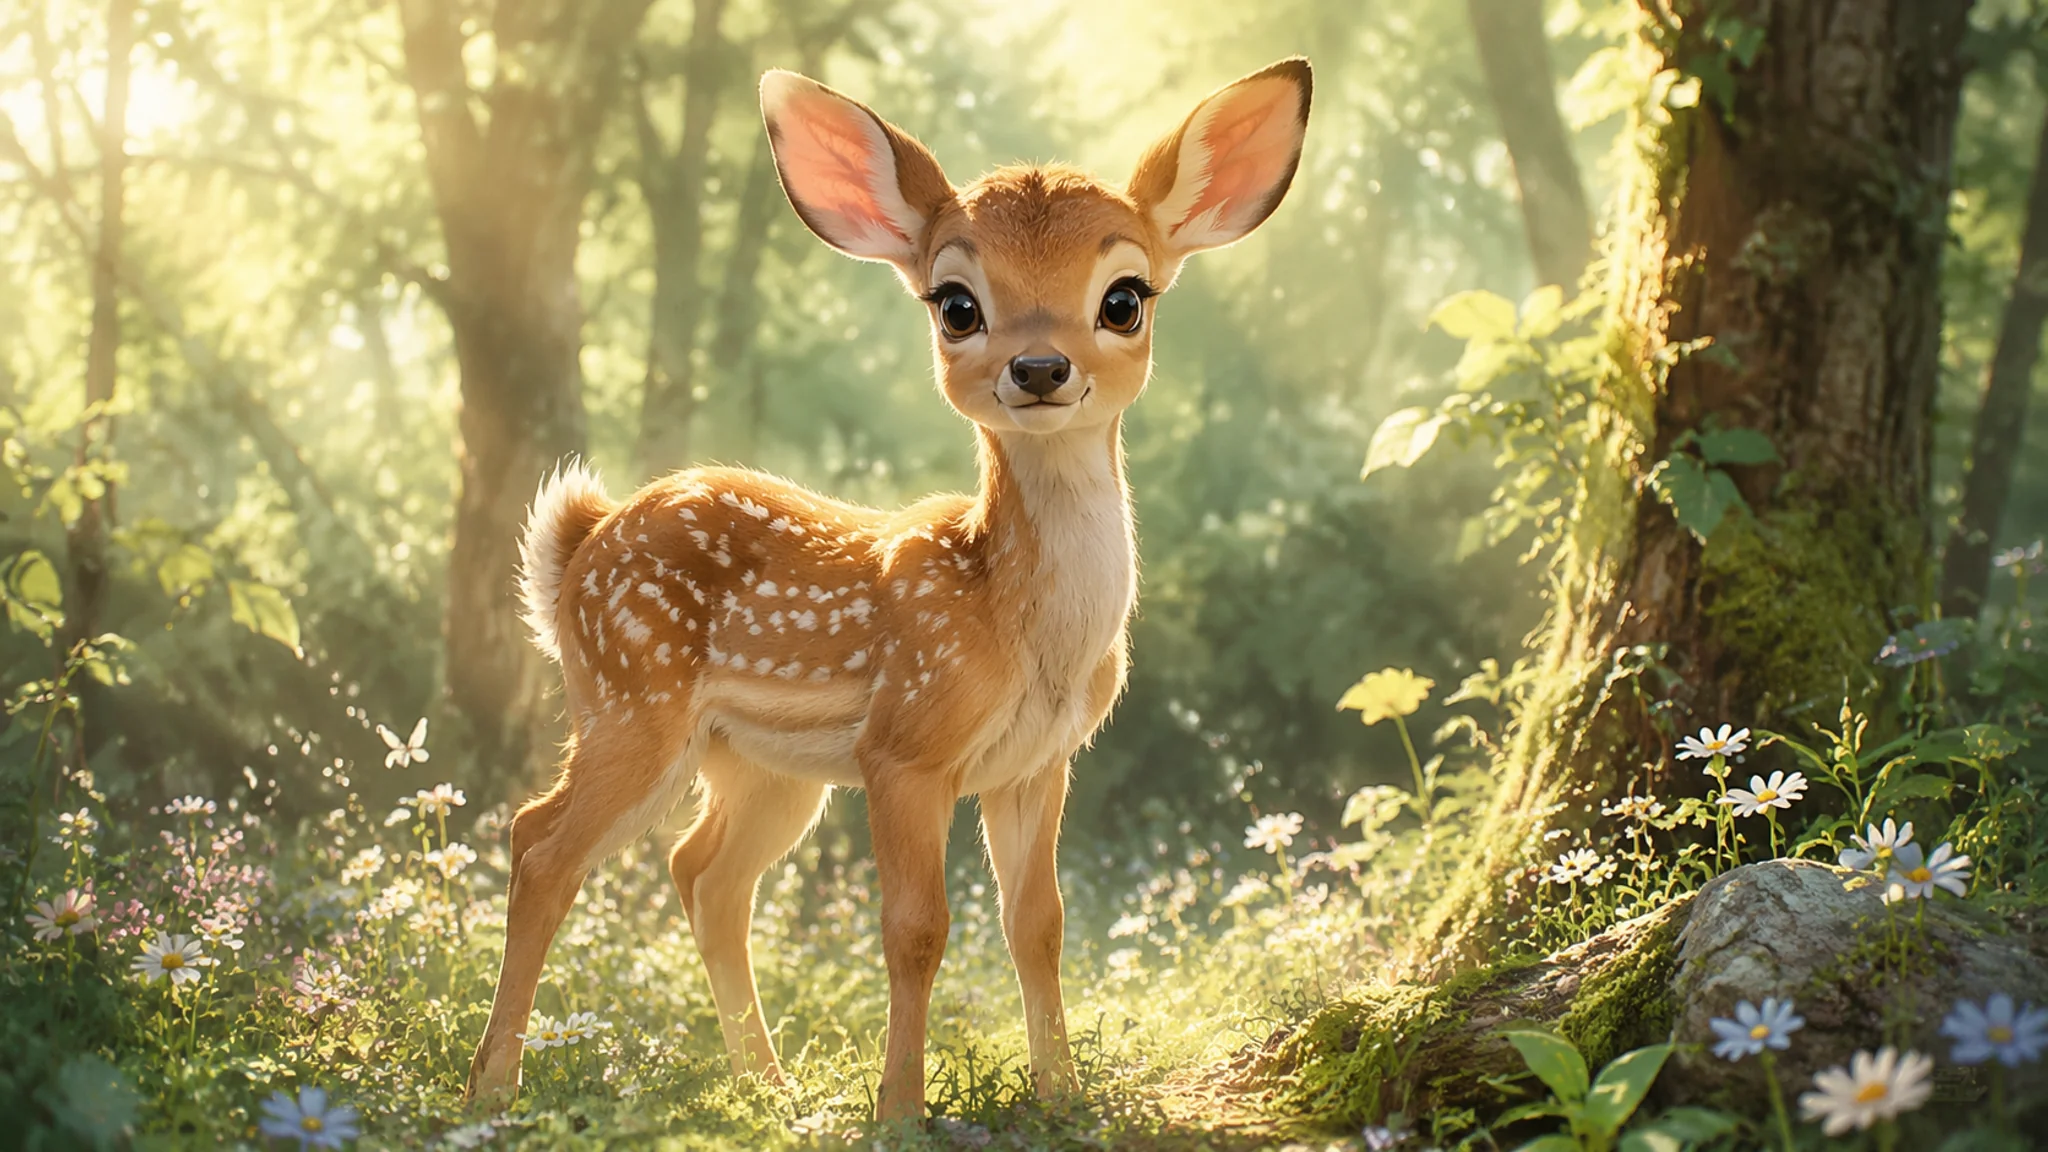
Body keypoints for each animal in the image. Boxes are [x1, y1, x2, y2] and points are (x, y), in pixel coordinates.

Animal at [464, 57, 1313, 1122]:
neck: (1022, 629)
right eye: (956, 304)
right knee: (542, 844)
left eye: (1126, 297)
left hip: (762, 766)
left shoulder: (1039, 762)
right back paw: (492, 1090)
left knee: (703, 872)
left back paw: (771, 1089)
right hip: (631, 697)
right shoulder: (905, 745)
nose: (1040, 367)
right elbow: (916, 927)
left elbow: (1039, 923)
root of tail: (580, 542)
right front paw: (901, 1109)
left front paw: (1063, 1096)